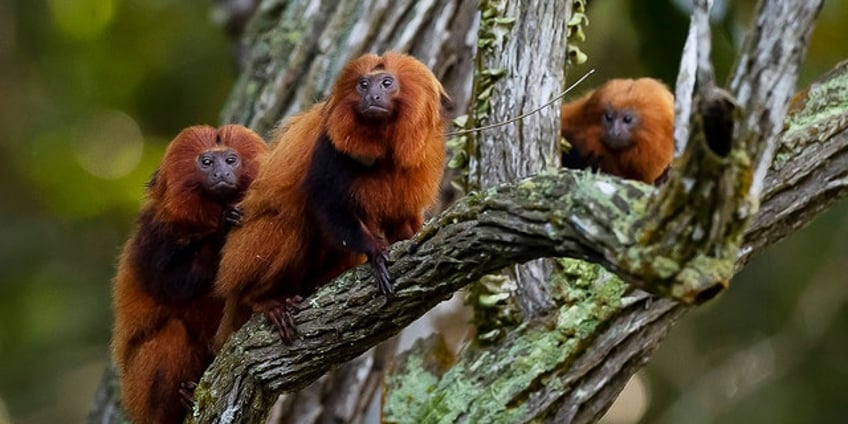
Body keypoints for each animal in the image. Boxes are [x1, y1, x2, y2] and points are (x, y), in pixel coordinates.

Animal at [110, 124, 264, 422]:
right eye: (207, 162)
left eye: (231, 160)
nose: (221, 174)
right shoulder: (154, 234)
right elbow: (174, 283)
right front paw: (223, 230)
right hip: (137, 391)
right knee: (172, 332)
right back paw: (179, 401)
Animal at [214, 51, 450, 346]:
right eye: (363, 85)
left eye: (386, 83)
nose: (372, 96)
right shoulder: (330, 142)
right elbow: (327, 203)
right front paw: (375, 252)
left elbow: (402, 215)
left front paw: (408, 236)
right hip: (240, 257)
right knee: (290, 225)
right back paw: (262, 300)